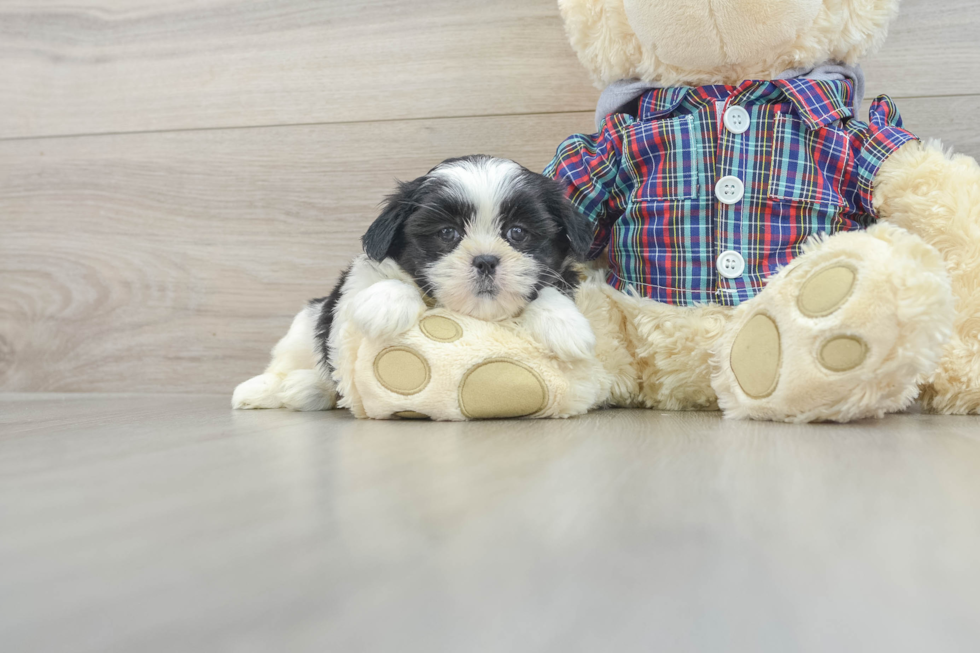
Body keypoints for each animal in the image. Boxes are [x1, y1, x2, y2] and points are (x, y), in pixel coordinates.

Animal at [235, 155, 596, 410]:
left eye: (518, 232)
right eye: (447, 233)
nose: (485, 260)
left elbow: (552, 287)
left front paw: (565, 325)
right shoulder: (347, 300)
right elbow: (383, 287)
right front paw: (386, 306)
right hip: (303, 325)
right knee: (288, 361)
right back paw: (268, 389)